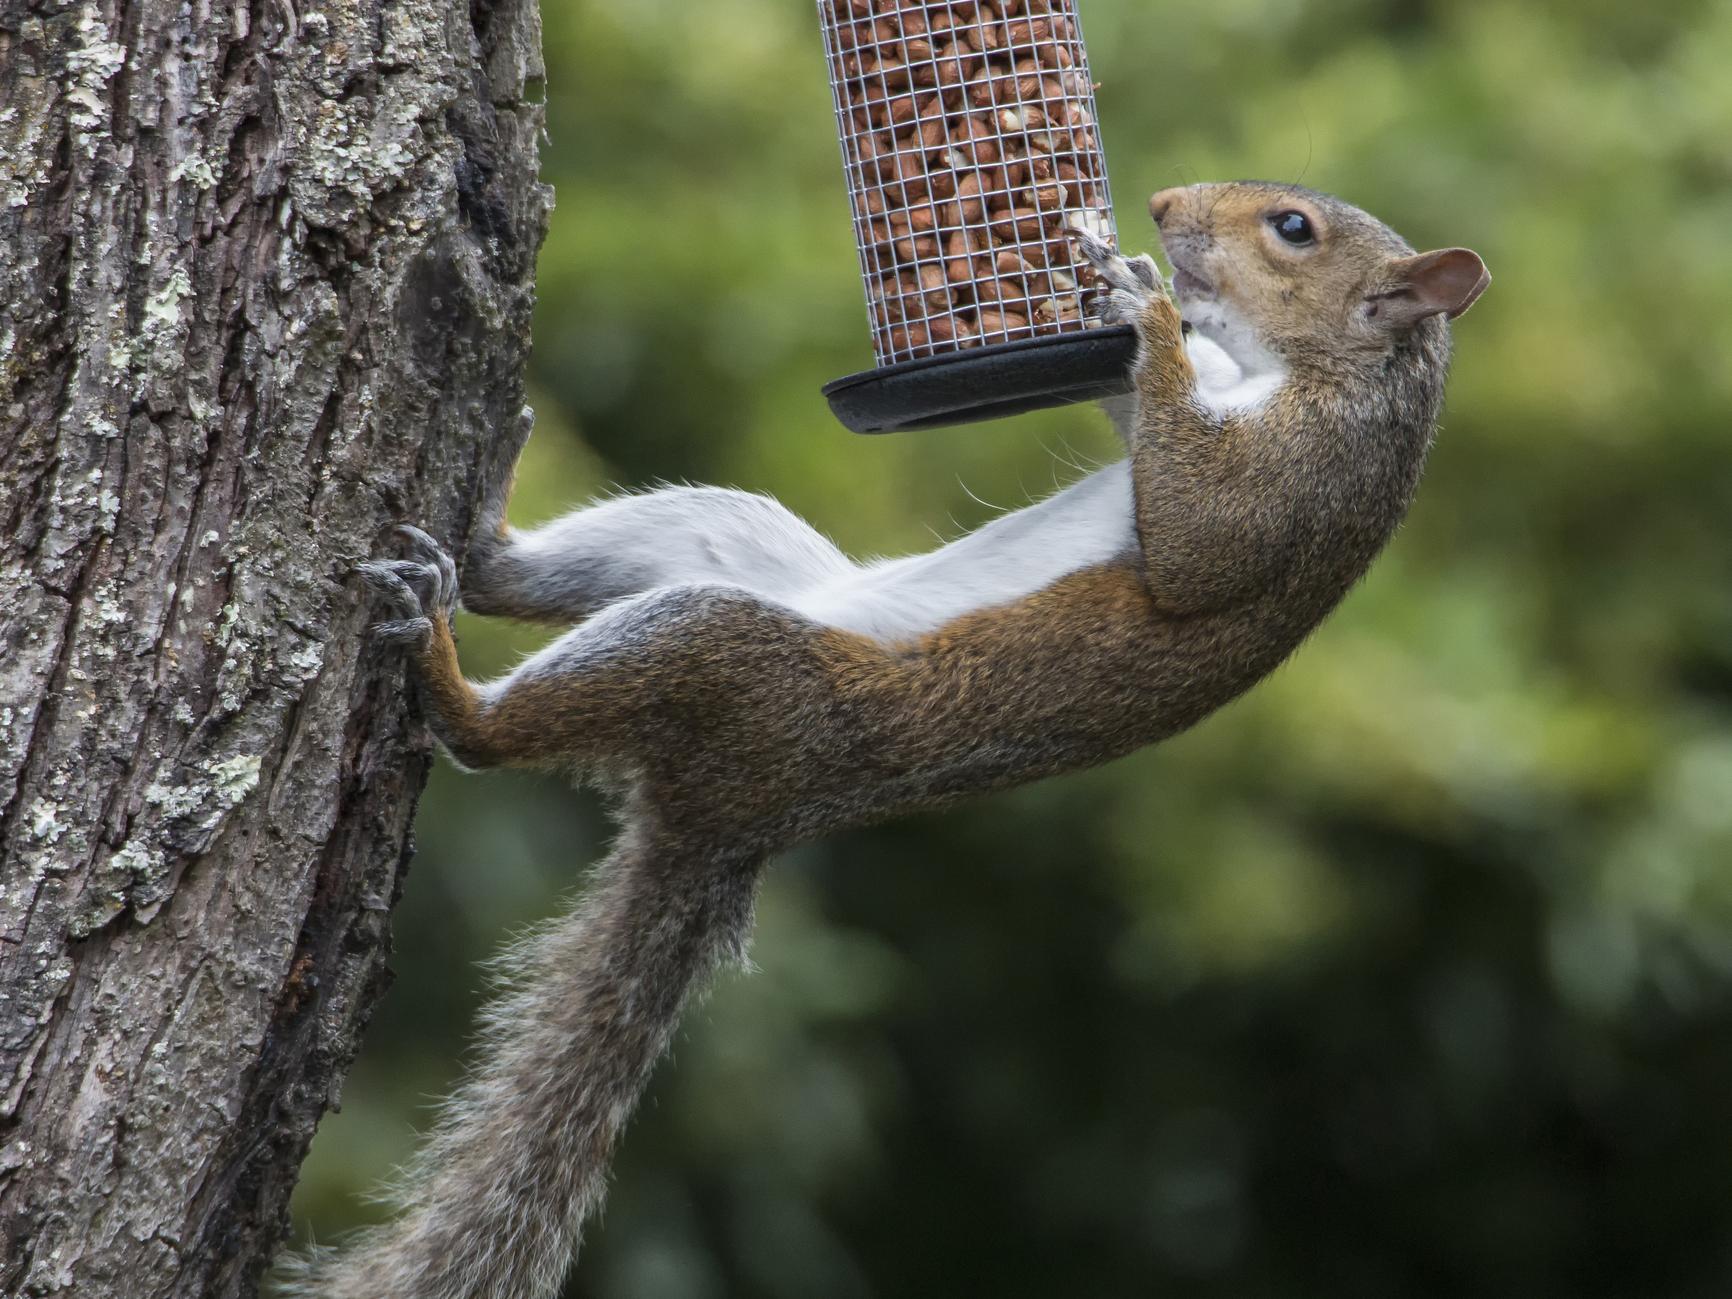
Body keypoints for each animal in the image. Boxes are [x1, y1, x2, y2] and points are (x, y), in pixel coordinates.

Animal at [287, 183, 1489, 1299]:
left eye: (1292, 229)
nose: (1160, 205)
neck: (1311, 375)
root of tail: (734, 818)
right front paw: (1123, 286)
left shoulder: (1296, 485)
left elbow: (1196, 544)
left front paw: (1144, 310)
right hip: (720, 534)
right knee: (526, 574)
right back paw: (486, 509)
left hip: (729, 658)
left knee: (496, 735)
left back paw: (443, 670)